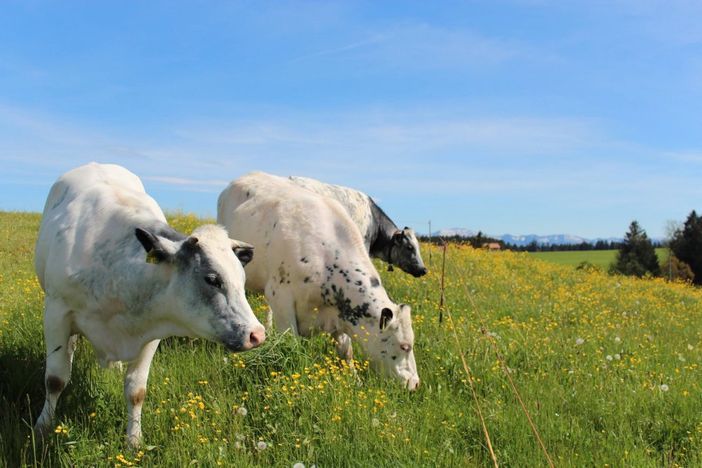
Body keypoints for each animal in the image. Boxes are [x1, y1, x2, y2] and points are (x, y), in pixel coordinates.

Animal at [33, 165, 266, 446]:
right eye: (212, 279)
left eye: (242, 279)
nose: (257, 334)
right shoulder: (56, 313)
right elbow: (55, 379)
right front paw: (43, 425)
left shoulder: (151, 329)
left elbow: (136, 390)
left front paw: (134, 440)